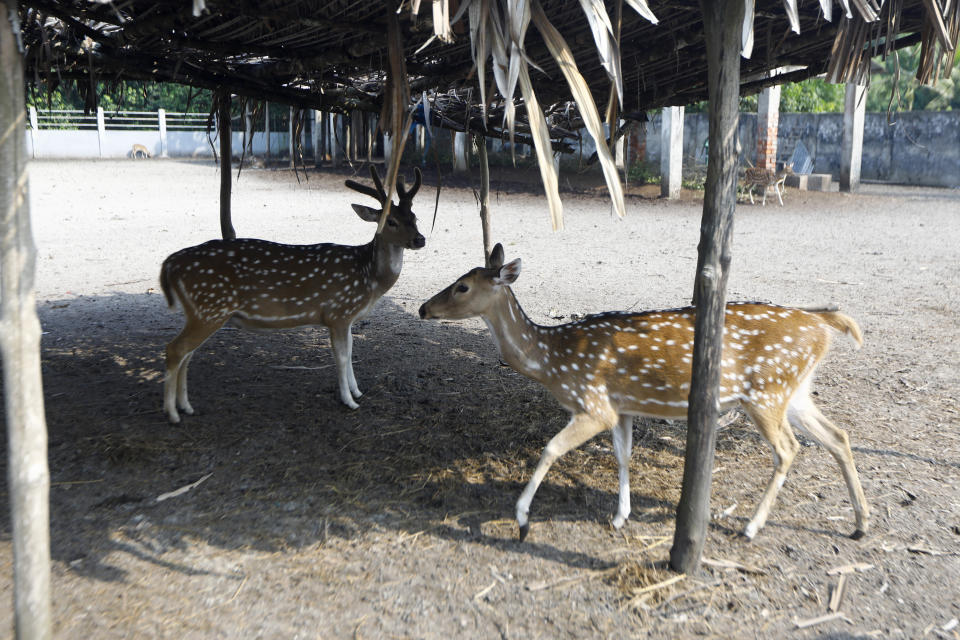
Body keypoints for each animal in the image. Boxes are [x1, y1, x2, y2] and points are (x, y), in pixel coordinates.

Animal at [161, 168, 424, 422]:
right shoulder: (338, 312)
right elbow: (340, 356)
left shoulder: (347, 318)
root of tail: (170, 264)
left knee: (187, 354)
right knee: (175, 349)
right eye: (391, 221)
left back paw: (186, 407)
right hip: (211, 308)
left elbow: (350, 352)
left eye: (414, 217)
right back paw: (172, 413)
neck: (368, 278)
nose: (420, 239)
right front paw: (349, 401)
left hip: (201, 312)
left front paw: (357, 391)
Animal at [420, 242, 872, 544]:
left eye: (462, 286)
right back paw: (860, 524)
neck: (550, 361)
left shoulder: (593, 404)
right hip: (795, 392)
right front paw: (620, 517)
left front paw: (521, 519)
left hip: (766, 393)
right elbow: (624, 456)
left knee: (789, 449)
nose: (424, 308)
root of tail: (823, 326)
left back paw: (751, 526)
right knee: (839, 436)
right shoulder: (622, 408)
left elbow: (550, 449)